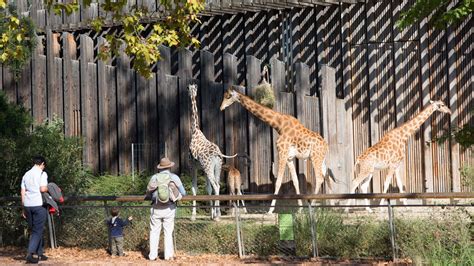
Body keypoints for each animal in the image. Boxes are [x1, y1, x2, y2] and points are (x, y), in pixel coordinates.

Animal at [188, 84, 239, 220]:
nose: (191, 92)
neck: (195, 131)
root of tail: (217, 153)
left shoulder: (193, 166)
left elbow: (194, 188)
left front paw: (193, 216)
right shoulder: (203, 169)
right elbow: (208, 189)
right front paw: (211, 214)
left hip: (209, 167)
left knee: (216, 186)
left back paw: (217, 216)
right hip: (217, 166)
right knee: (218, 186)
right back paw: (218, 214)